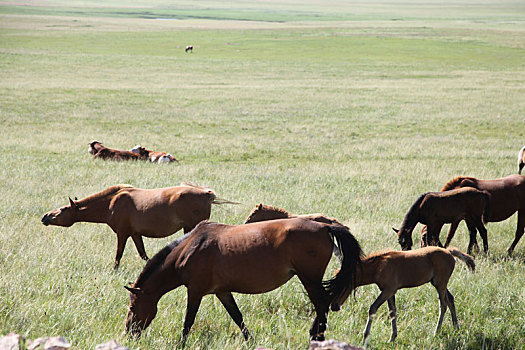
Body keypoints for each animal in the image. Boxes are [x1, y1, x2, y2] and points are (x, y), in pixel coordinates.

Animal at [41, 183, 225, 268]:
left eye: (63, 209)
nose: (45, 217)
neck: (112, 202)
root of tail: (206, 194)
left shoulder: (122, 233)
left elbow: (118, 255)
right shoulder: (135, 234)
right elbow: (143, 254)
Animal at [123, 219, 362, 344]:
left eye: (133, 308)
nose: (129, 333)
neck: (189, 248)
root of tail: (324, 227)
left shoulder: (195, 291)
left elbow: (188, 320)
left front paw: (181, 343)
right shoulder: (222, 292)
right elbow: (237, 316)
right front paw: (250, 340)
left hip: (309, 279)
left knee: (321, 305)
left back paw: (316, 337)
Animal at [332, 246, 474, 344]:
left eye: (341, 287)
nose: (334, 306)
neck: (379, 267)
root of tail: (449, 251)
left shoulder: (389, 290)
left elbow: (373, 308)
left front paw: (365, 337)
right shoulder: (389, 292)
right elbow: (392, 312)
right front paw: (392, 337)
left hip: (440, 283)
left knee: (443, 304)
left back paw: (436, 331)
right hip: (438, 283)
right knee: (450, 299)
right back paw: (456, 327)